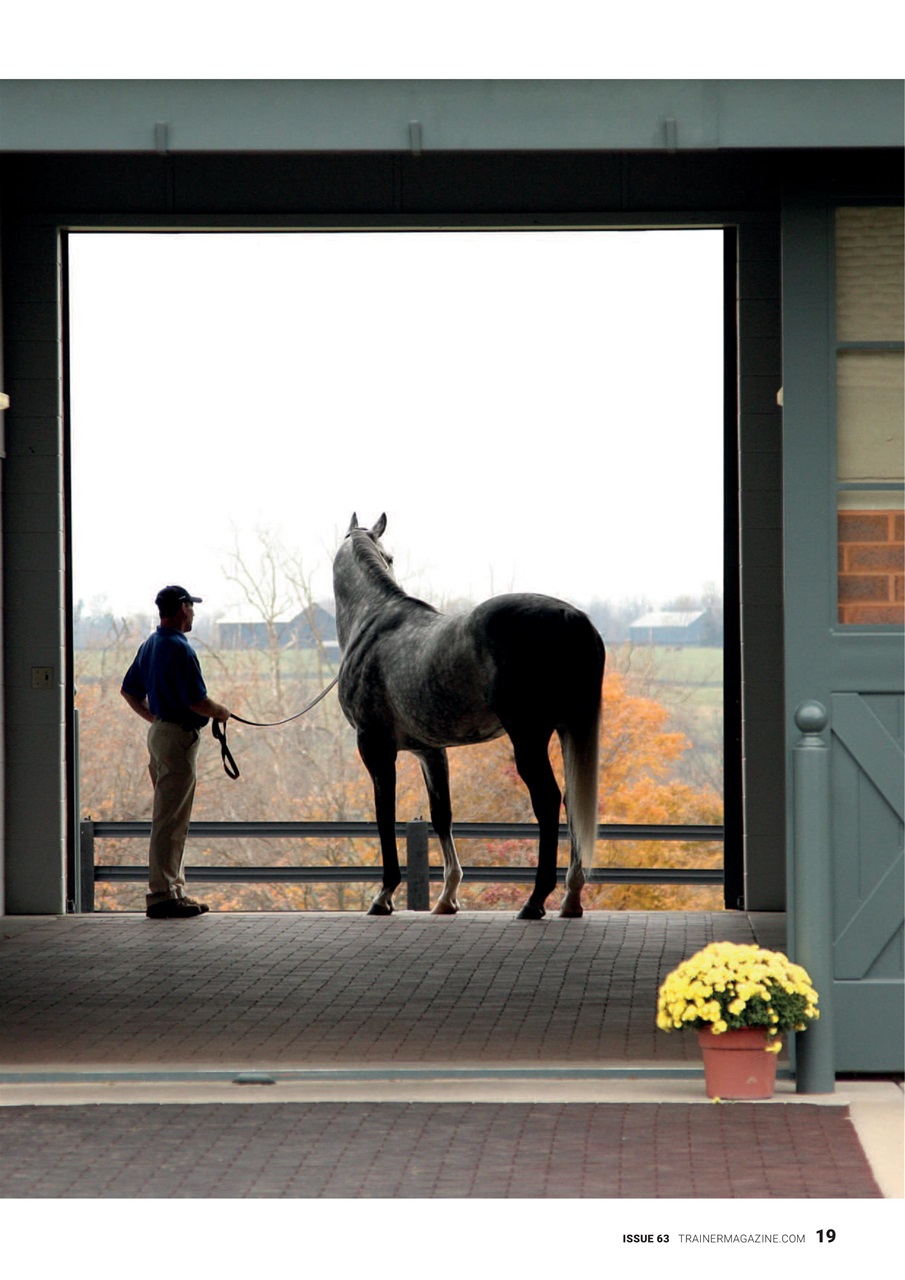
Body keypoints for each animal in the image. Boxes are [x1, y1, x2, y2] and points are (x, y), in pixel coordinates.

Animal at [333, 514, 606, 920]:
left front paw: (384, 895)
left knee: (547, 799)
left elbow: (385, 814)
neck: (373, 623)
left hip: (529, 734)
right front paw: (447, 897)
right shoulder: (430, 750)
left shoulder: (375, 746)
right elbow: (441, 814)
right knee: (572, 802)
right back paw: (571, 898)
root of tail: (569, 617)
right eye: (390, 557)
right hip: (567, 727)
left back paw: (535, 900)